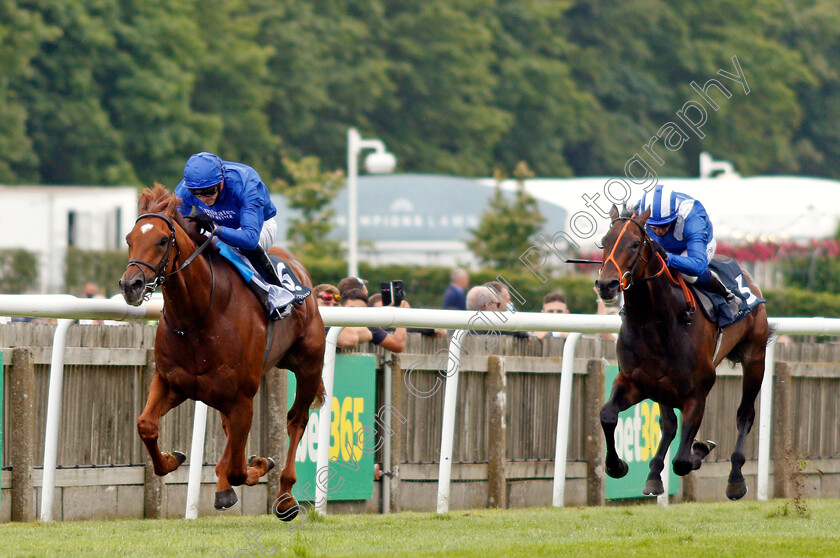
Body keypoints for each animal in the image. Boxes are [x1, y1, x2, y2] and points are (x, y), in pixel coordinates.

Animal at [118, 185, 324, 520]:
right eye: (129, 239)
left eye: (162, 240)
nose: (130, 285)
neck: (198, 316)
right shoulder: (171, 382)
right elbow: (146, 425)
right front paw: (172, 459)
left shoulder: (242, 396)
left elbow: (241, 468)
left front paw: (259, 464)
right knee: (231, 430)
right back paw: (224, 488)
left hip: (308, 366)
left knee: (296, 420)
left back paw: (284, 497)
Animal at [592, 206, 772, 504]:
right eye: (604, 242)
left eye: (634, 244)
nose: (606, 285)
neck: (655, 322)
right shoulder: (633, 381)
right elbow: (607, 414)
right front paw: (617, 466)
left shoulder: (697, 393)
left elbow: (683, 461)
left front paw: (699, 449)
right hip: (662, 388)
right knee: (668, 424)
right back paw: (654, 476)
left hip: (755, 358)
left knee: (744, 415)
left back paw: (735, 481)